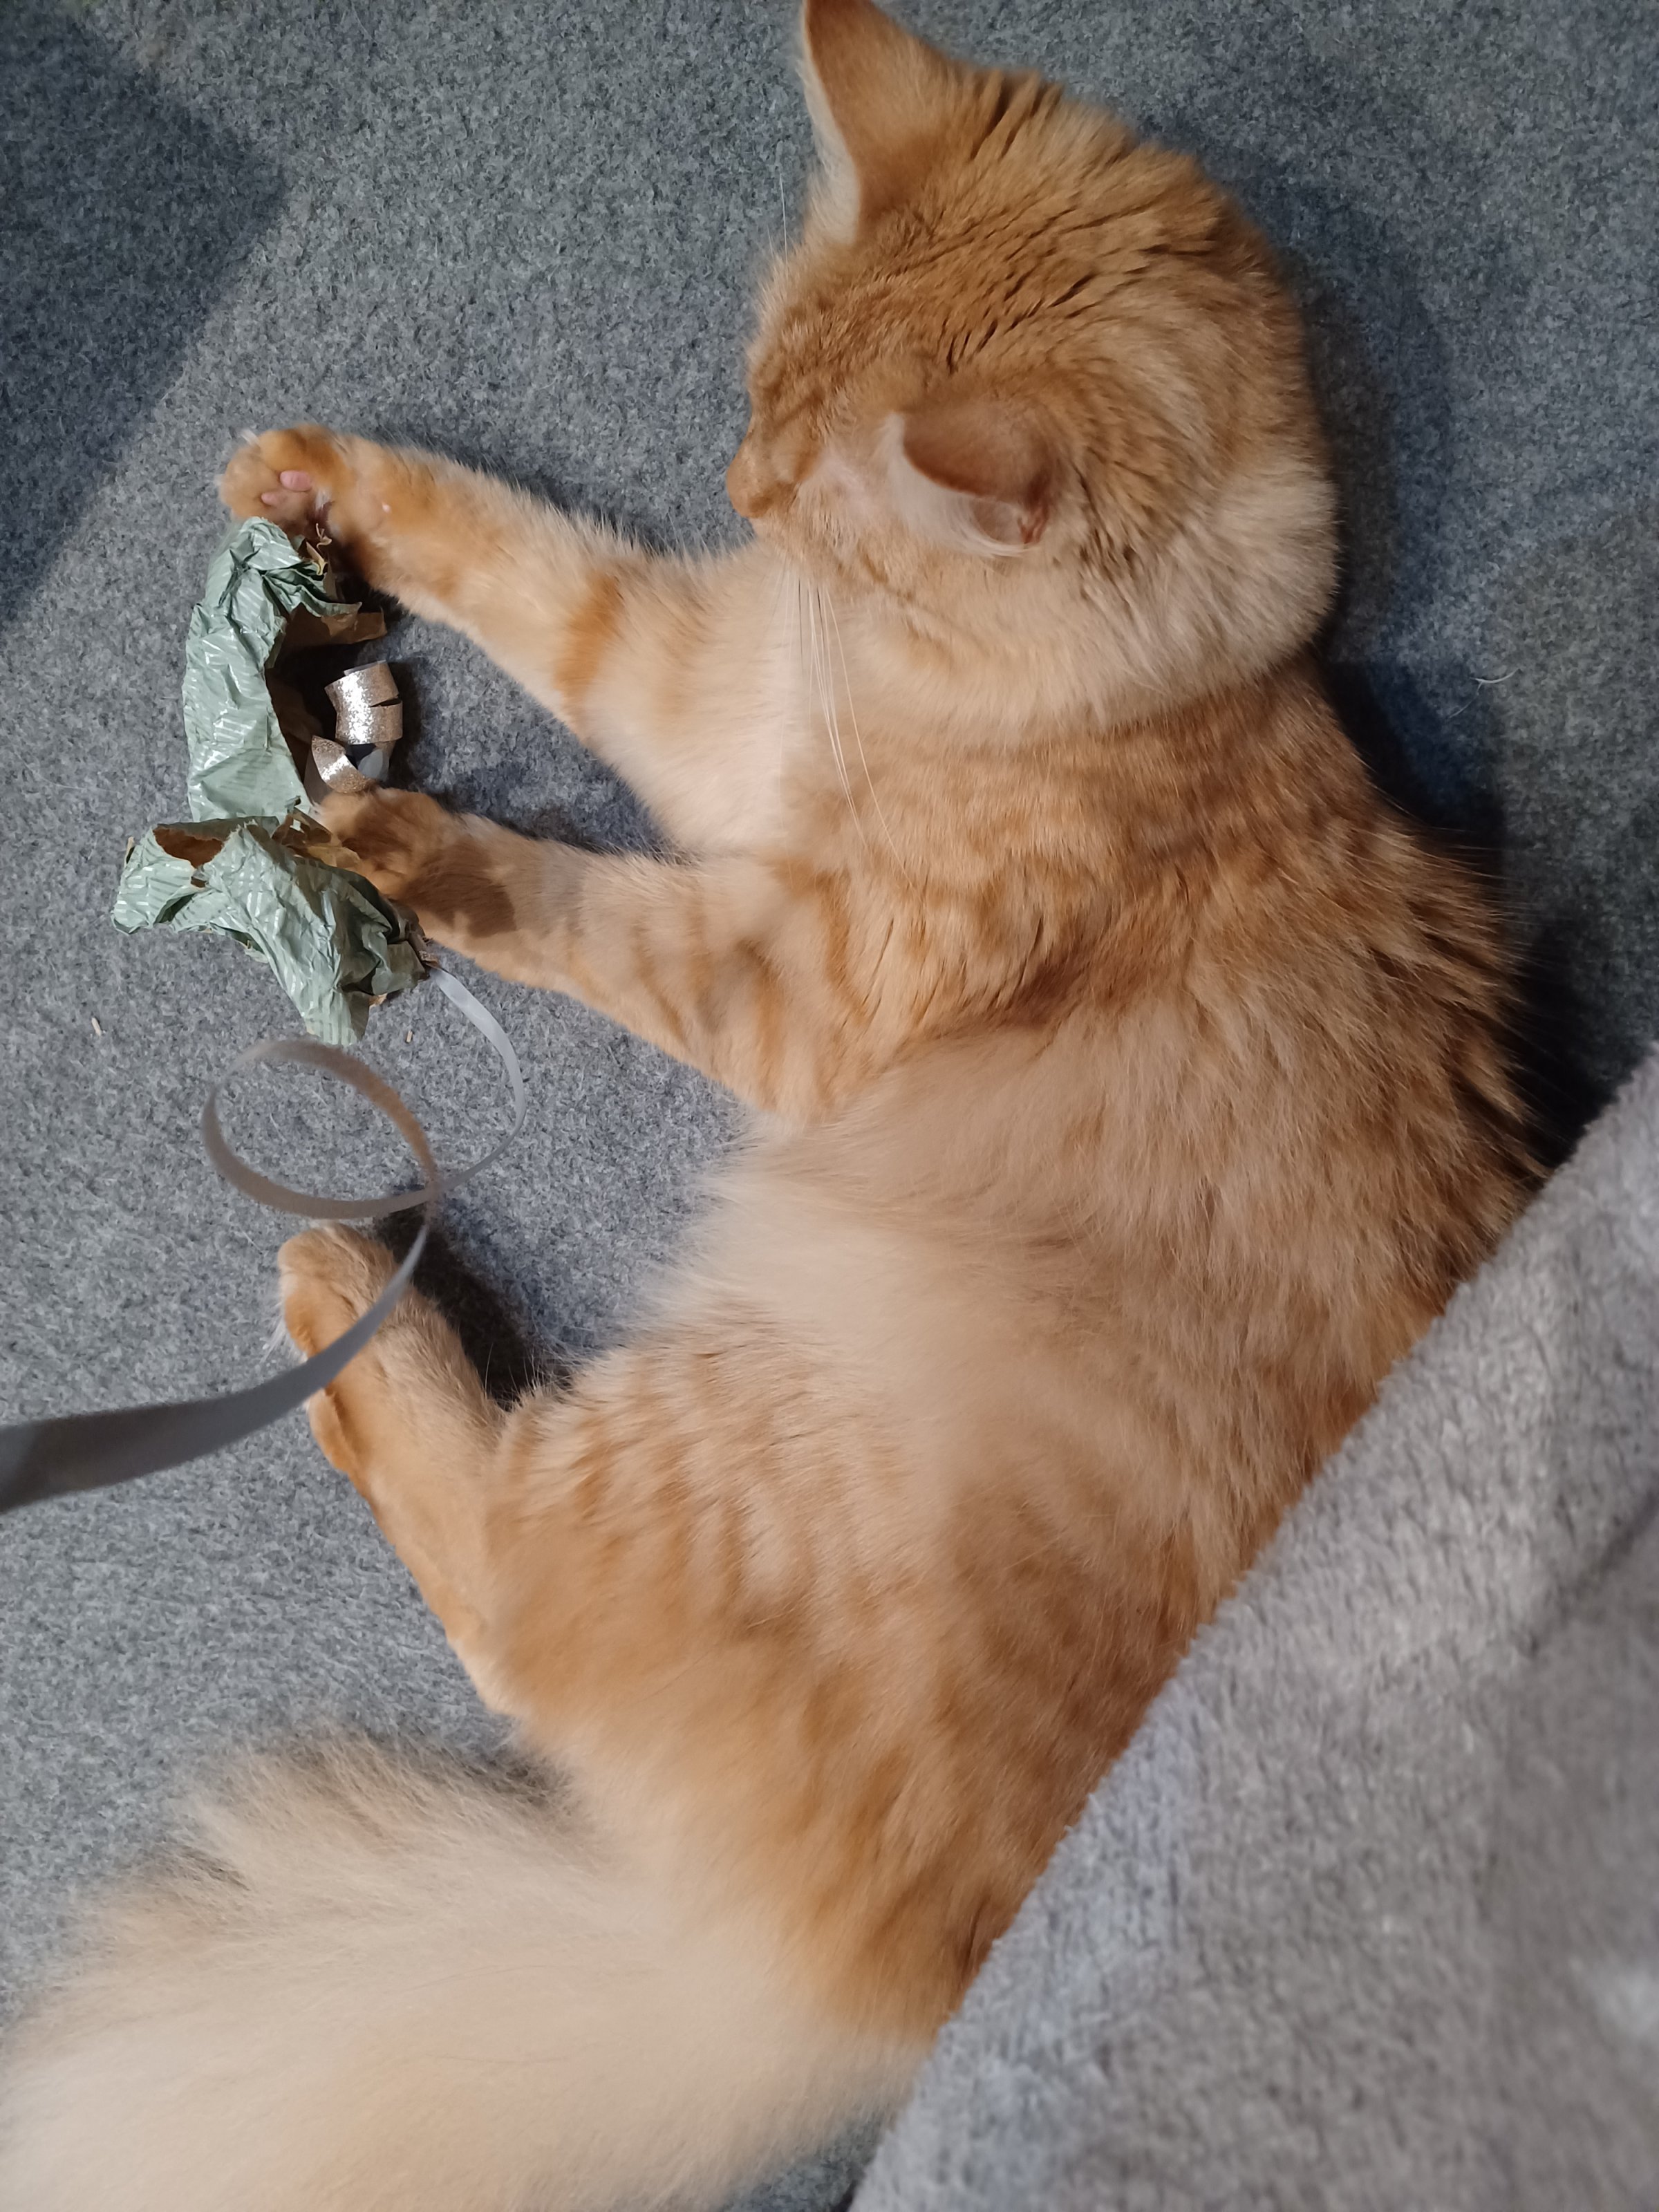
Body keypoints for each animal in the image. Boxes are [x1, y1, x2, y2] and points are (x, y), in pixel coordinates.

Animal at [0, 2, 1537, 2208]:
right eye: (755, 421)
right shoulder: (711, 686)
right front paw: (322, 486)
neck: (1106, 707)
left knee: (500, 1583)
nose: (732, 482)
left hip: (720, 1416)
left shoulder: (788, 976)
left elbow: (570, 897)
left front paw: (402, 848)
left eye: (813, 497)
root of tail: (867, 1999)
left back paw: (335, 1291)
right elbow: (537, 570)